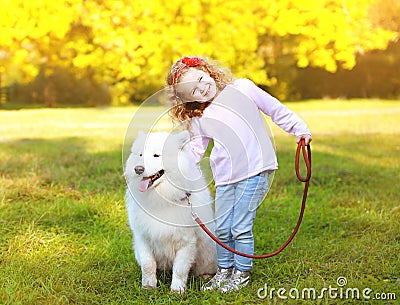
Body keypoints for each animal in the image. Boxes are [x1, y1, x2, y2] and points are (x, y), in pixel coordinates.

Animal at [125, 130, 219, 292]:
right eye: (140, 154)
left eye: (156, 155)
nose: (138, 169)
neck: (162, 198)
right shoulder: (143, 238)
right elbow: (148, 265)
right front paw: (148, 286)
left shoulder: (186, 242)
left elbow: (180, 269)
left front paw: (177, 290)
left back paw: (205, 276)